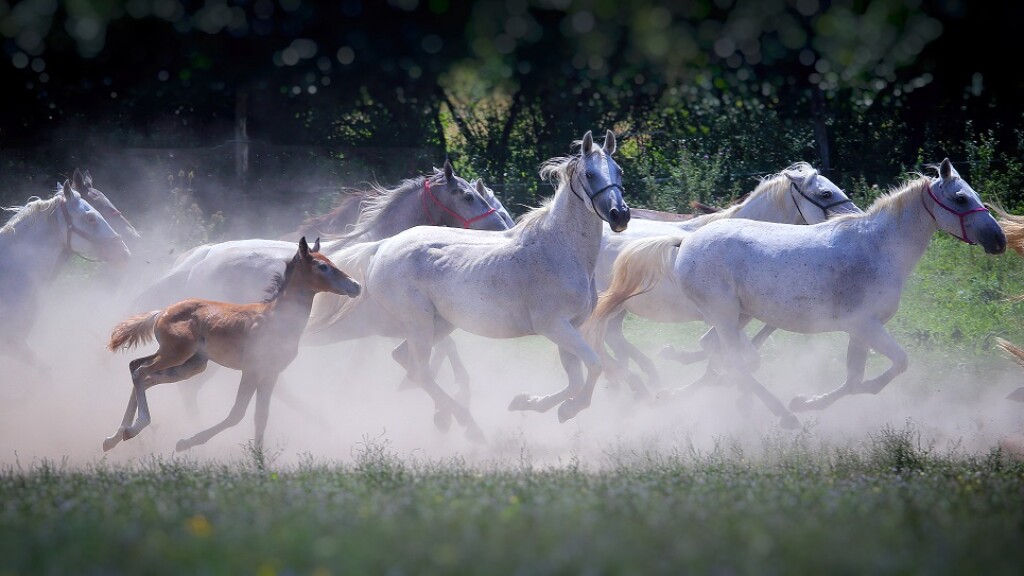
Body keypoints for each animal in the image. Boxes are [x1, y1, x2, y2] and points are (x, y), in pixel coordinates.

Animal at [103, 235, 360, 450]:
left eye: (330, 261)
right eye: (322, 266)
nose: (356, 285)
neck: (275, 318)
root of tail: (162, 312)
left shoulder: (271, 373)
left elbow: (261, 417)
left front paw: (260, 465)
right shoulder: (252, 369)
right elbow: (237, 414)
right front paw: (186, 442)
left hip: (192, 364)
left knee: (141, 371)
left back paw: (116, 436)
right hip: (174, 354)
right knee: (141, 371)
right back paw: (133, 429)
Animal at [321, 129, 630, 434]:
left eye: (619, 170)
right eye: (589, 174)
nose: (620, 214)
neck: (560, 248)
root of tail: (383, 245)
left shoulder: (570, 327)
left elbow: (575, 379)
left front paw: (527, 403)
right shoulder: (554, 326)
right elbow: (594, 365)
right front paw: (568, 409)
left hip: (438, 324)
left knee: (407, 361)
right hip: (419, 323)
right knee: (419, 371)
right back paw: (467, 424)